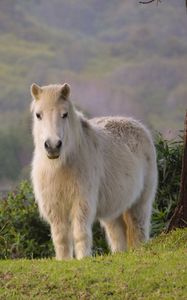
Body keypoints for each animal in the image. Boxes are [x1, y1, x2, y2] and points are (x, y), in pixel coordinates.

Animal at [30, 83, 158, 258]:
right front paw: (64, 260)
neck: (60, 166)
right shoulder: (55, 207)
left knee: (139, 230)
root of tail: (139, 126)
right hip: (114, 211)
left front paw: (83, 259)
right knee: (117, 236)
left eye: (64, 114)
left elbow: (80, 233)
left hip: (140, 203)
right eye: (38, 115)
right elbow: (60, 238)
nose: (53, 146)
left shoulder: (82, 202)